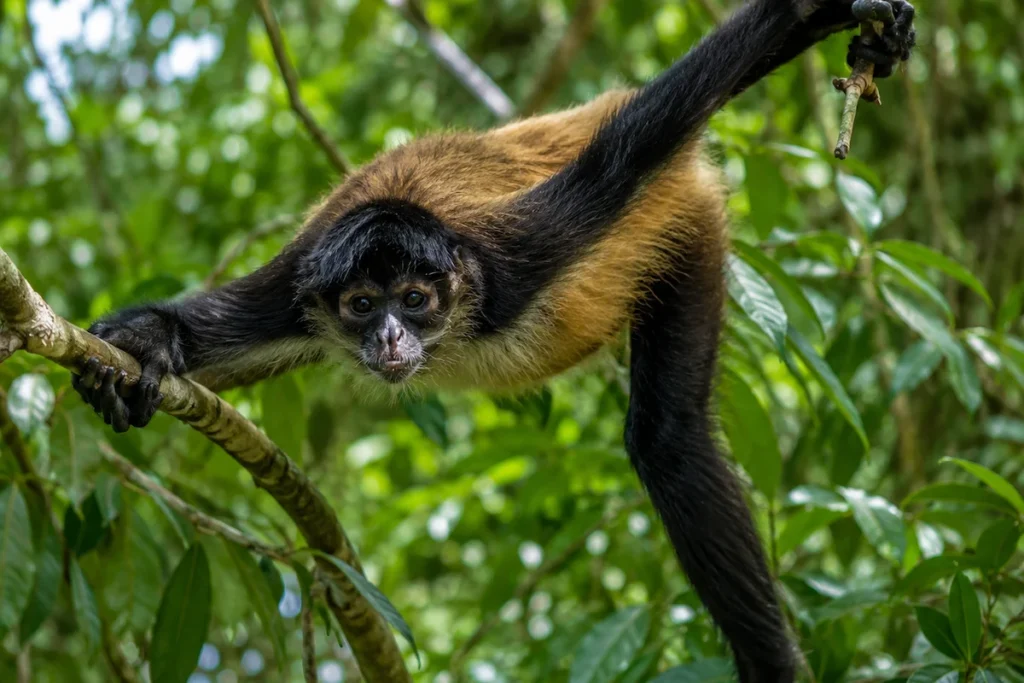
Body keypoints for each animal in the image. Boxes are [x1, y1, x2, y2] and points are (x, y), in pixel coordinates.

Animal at [72, 1, 915, 679]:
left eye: (414, 302)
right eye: (362, 306)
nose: (388, 338)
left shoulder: (513, 252)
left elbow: (639, 141)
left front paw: (820, 10)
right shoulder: (298, 284)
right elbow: (200, 332)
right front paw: (142, 345)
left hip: (687, 219)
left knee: (668, 437)